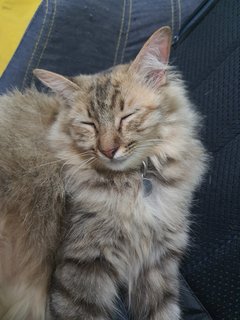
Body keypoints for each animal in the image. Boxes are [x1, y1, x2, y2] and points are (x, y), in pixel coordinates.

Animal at [0, 27, 206, 320]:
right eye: (89, 125)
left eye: (126, 117)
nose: (108, 150)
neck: (134, 184)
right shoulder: (83, 260)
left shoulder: (157, 262)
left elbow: (164, 311)